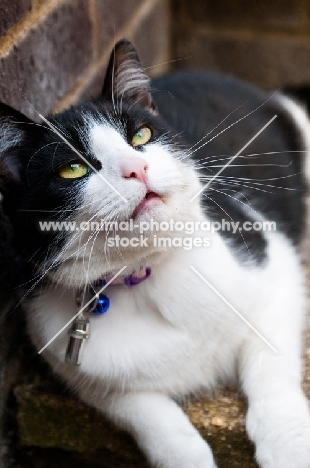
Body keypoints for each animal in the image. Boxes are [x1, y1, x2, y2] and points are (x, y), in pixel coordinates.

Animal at [0, 40, 310, 468]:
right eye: (72, 169)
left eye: (141, 135)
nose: (137, 167)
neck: (143, 273)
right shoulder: (76, 367)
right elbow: (146, 414)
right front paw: (188, 456)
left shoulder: (274, 269)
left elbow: (270, 363)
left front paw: (288, 443)